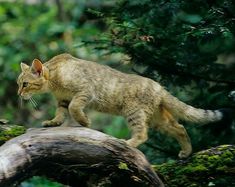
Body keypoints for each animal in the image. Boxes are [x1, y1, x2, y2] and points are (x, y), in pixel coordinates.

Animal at [17, 53, 233, 158]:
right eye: (19, 83)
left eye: (25, 84)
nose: (19, 93)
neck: (54, 79)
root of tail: (158, 86)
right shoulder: (63, 100)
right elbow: (61, 114)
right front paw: (52, 123)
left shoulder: (85, 92)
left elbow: (74, 109)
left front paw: (84, 122)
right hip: (157, 119)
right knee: (179, 127)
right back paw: (186, 151)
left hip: (134, 113)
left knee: (143, 134)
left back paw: (127, 143)